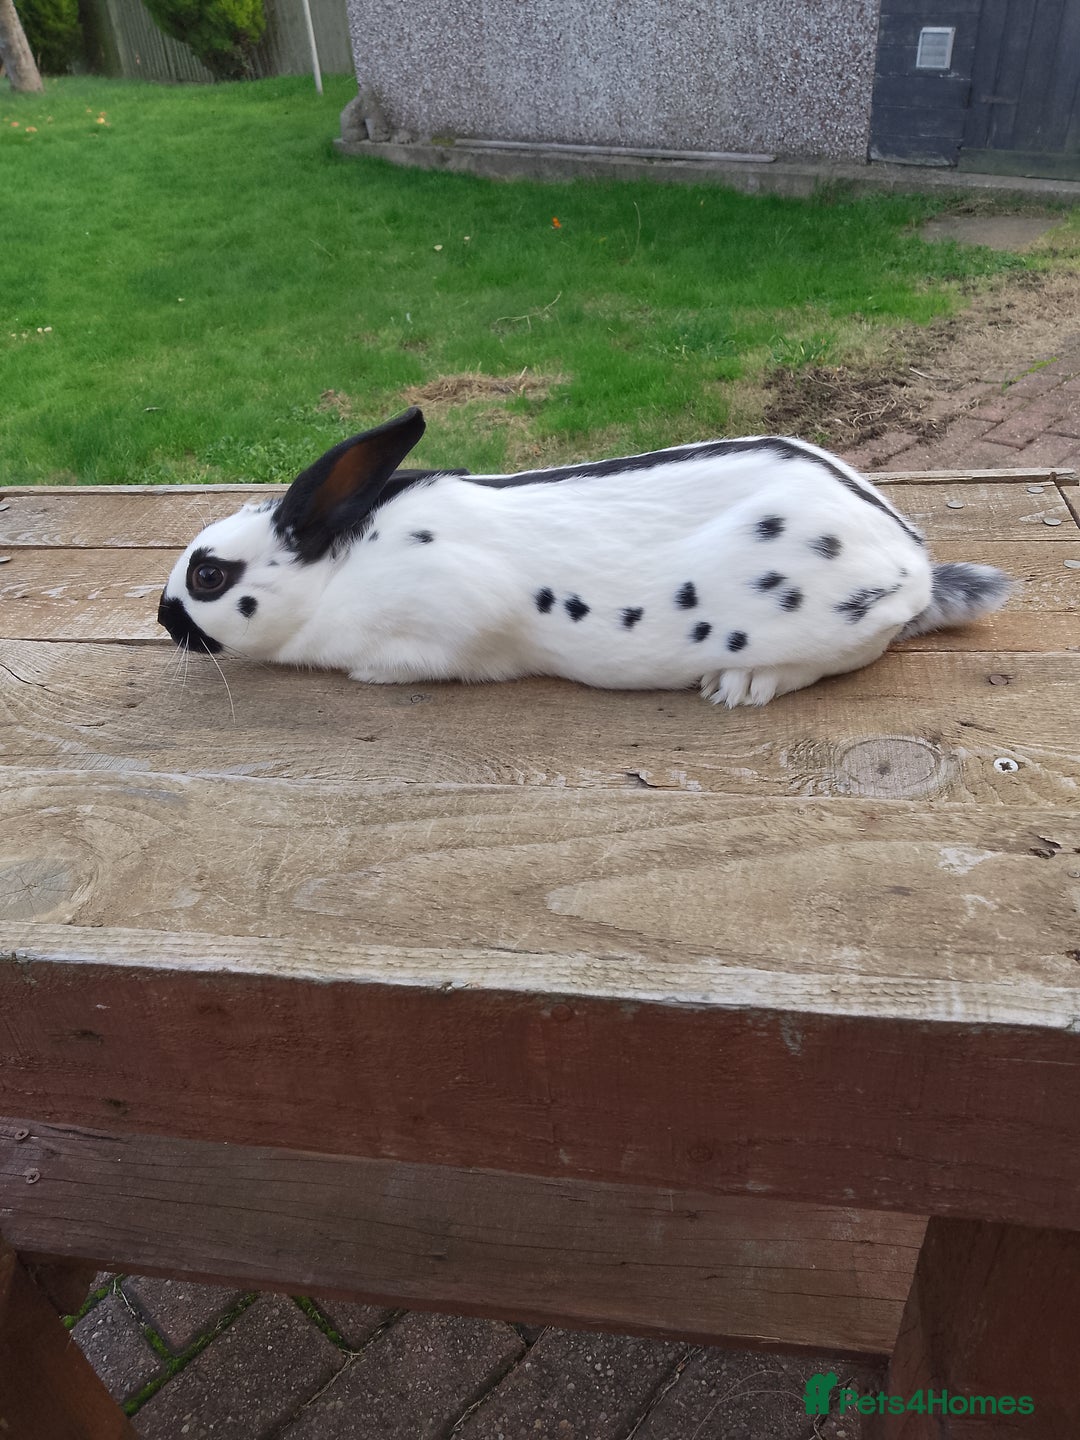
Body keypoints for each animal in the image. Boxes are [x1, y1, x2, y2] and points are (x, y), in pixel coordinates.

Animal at [158, 406, 1011, 707]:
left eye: (209, 575)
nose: (166, 620)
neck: (336, 573)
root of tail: (910, 565)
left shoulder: (447, 614)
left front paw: (371, 677)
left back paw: (738, 687)